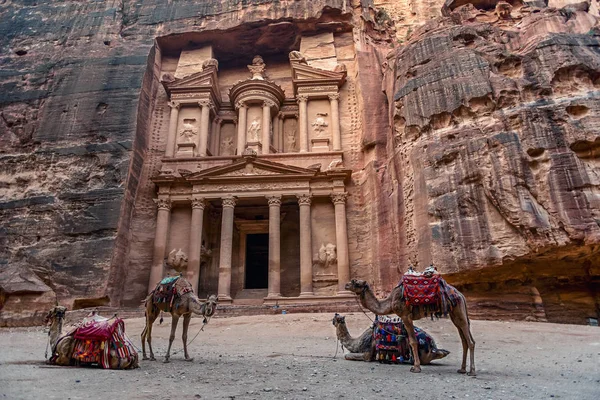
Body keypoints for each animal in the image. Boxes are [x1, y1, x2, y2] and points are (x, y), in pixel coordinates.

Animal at [344, 278, 476, 376]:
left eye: (356, 282)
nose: (346, 285)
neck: (389, 302)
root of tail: (461, 295)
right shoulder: (406, 317)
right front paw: (416, 366)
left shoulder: (405, 315)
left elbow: (413, 341)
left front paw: (416, 368)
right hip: (455, 313)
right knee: (464, 339)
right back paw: (462, 369)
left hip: (458, 310)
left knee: (470, 341)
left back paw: (472, 371)